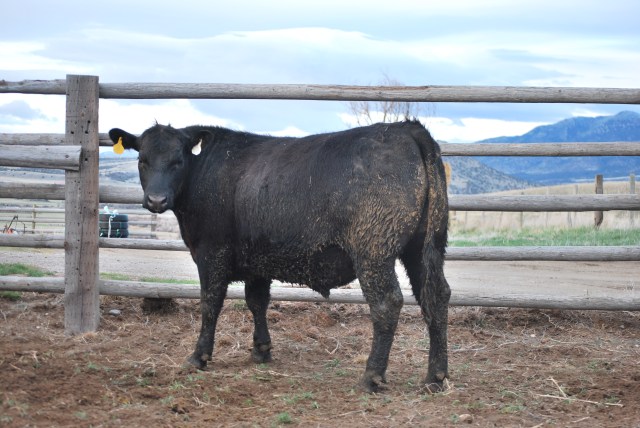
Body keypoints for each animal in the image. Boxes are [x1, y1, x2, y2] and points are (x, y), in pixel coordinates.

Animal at [109, 120, 451, 392]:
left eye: (178, 161)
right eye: (142, 160)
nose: (156, 200)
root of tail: (406, 127)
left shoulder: (211, 252)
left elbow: (210, 303)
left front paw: (199, 356)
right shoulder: (257, 260)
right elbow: (257, 301)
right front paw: (261, 350)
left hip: (373, 251)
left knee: (387, 303)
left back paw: (372, 376)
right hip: (425, 248)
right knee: (436, 296)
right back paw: (436, 377)